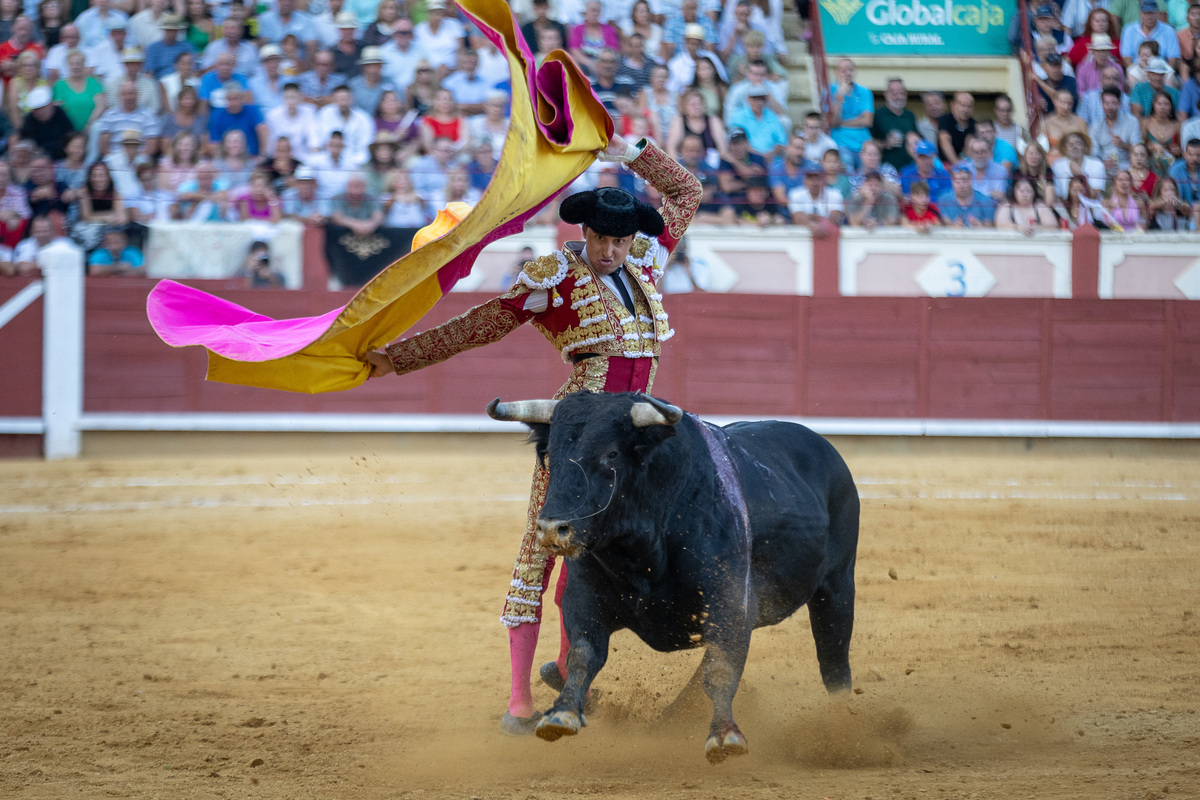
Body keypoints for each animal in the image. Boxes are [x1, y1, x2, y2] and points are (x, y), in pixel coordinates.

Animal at [487, 393, 864, 762]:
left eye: (611, 453)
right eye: (550, 454)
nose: (552, 528)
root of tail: (824, 447)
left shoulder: (728, 602)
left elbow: (721, 669)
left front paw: (724, 735)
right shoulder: (583, 599)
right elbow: (583, 654)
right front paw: (561, 713)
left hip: (837, 585)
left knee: (834, 661)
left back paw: (840, 727)